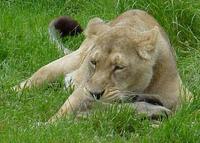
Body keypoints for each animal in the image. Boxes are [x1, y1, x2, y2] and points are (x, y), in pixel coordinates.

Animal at [12, 9, 192, 122]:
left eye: (119, 67)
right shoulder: (83, 91)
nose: (95, 94)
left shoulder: (185, 98)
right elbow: (63, 112)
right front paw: (46, 126)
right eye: (93, 62)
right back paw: (12, 94)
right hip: (70, 61)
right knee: (39, 75)